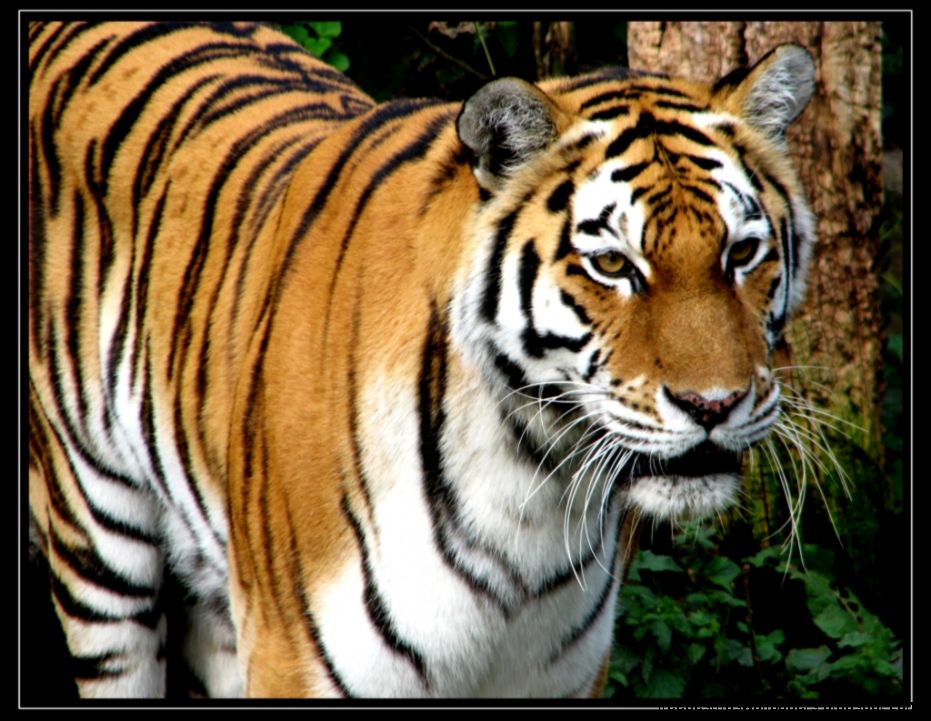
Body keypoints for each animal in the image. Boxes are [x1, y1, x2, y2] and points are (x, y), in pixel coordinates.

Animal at [27, 21, 816, 699]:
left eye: (742, 252)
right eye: (613, 264)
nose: (714, 405)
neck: (531, 488)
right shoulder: (293, 659)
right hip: (97, 547)